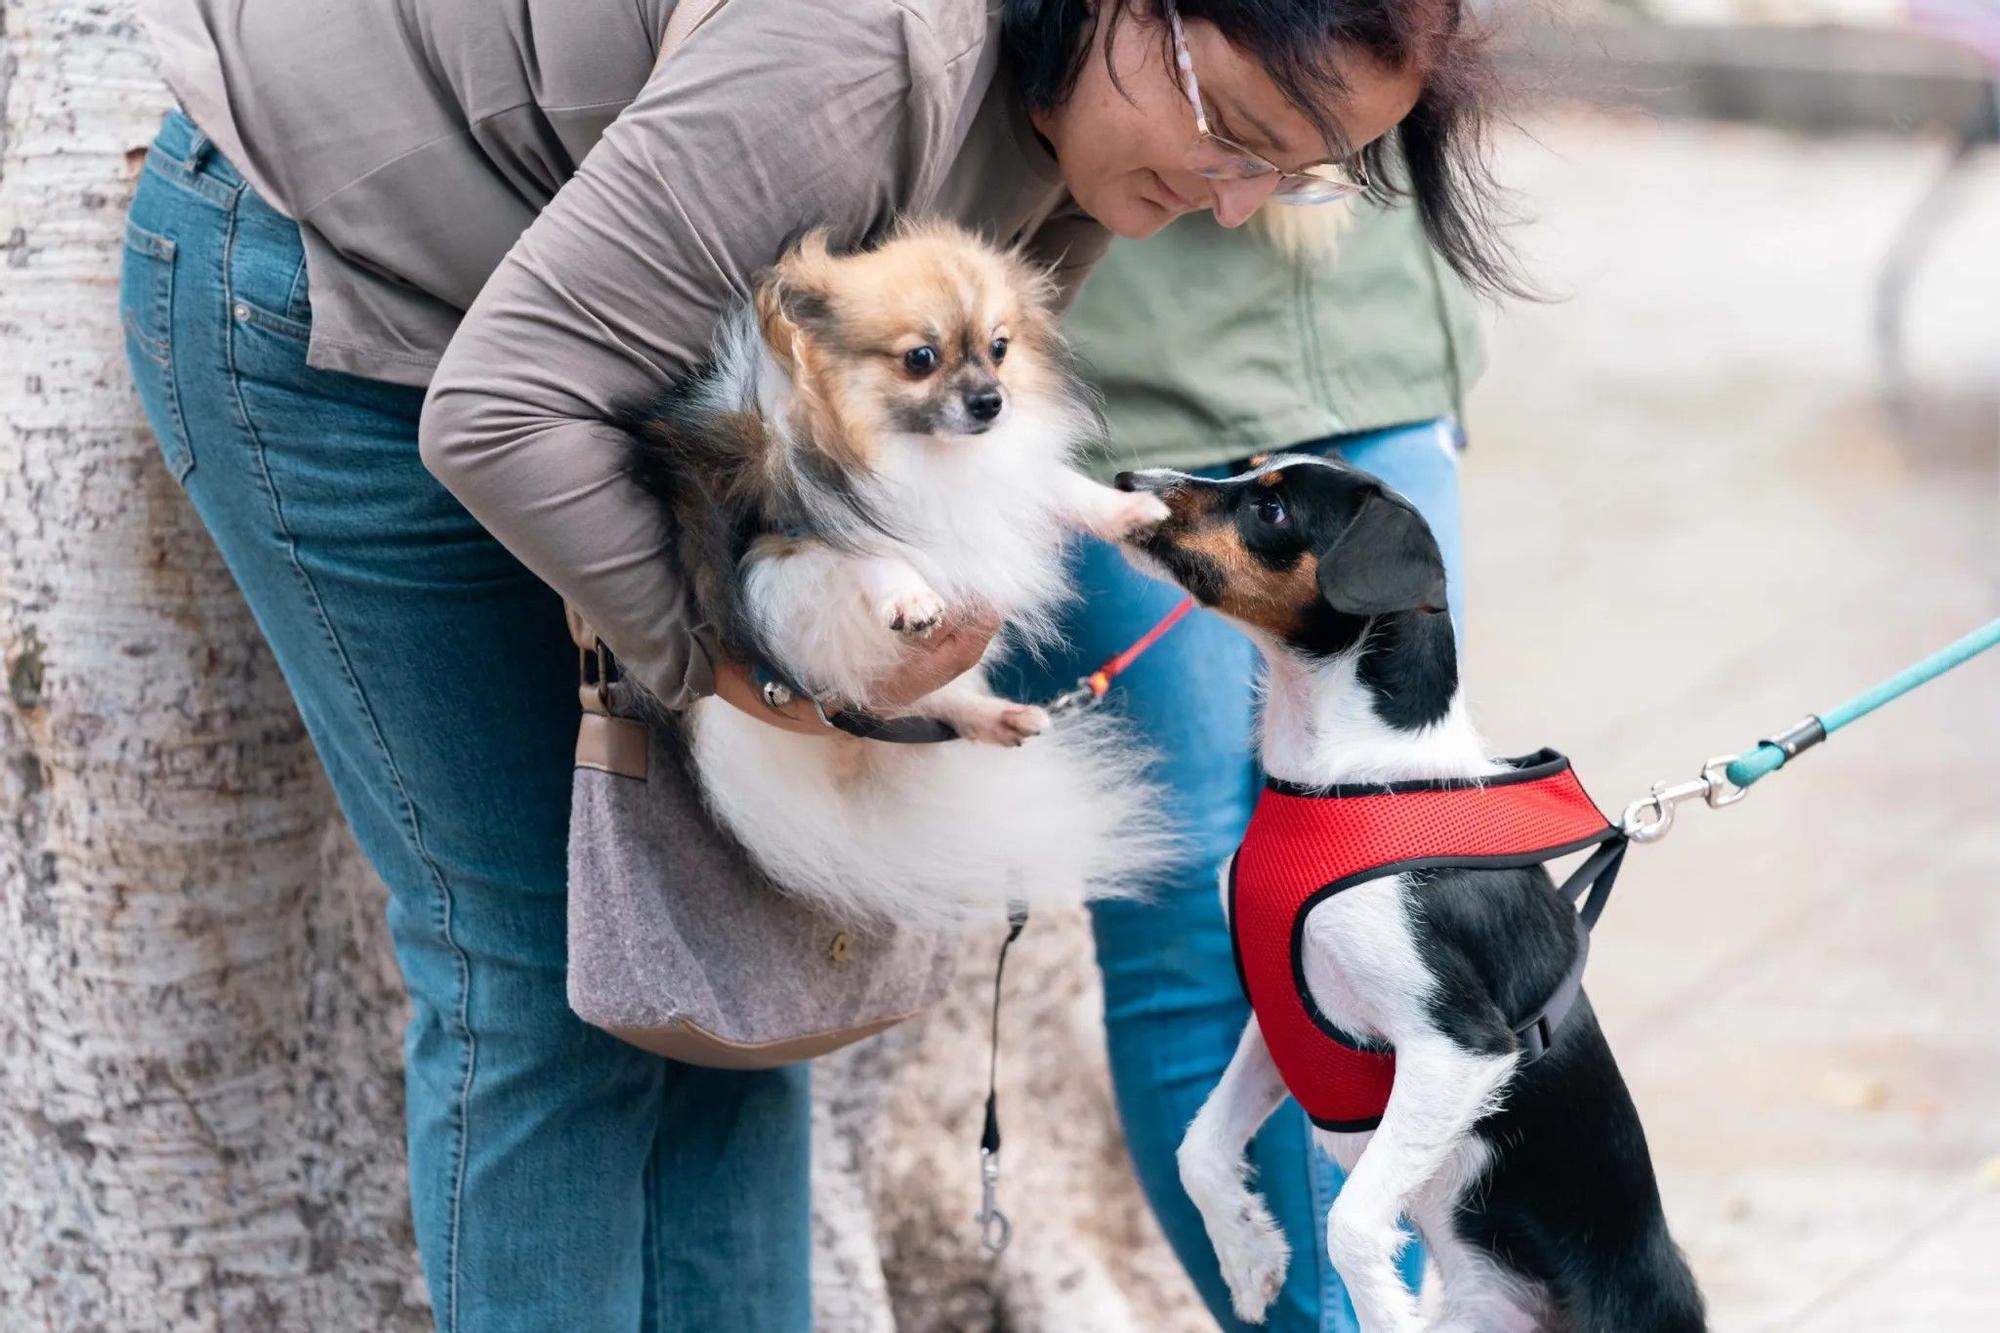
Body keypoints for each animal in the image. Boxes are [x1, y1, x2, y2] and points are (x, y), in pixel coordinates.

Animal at [608, 223, 1168, 924]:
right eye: (920, 358)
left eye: (999, 348)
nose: (991, 402)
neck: (919, 456)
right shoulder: (780, 550)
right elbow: (867, 552)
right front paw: (911, 597)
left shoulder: (998, 490)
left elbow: (1060, 488)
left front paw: (1130, 511)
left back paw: (998, 717)